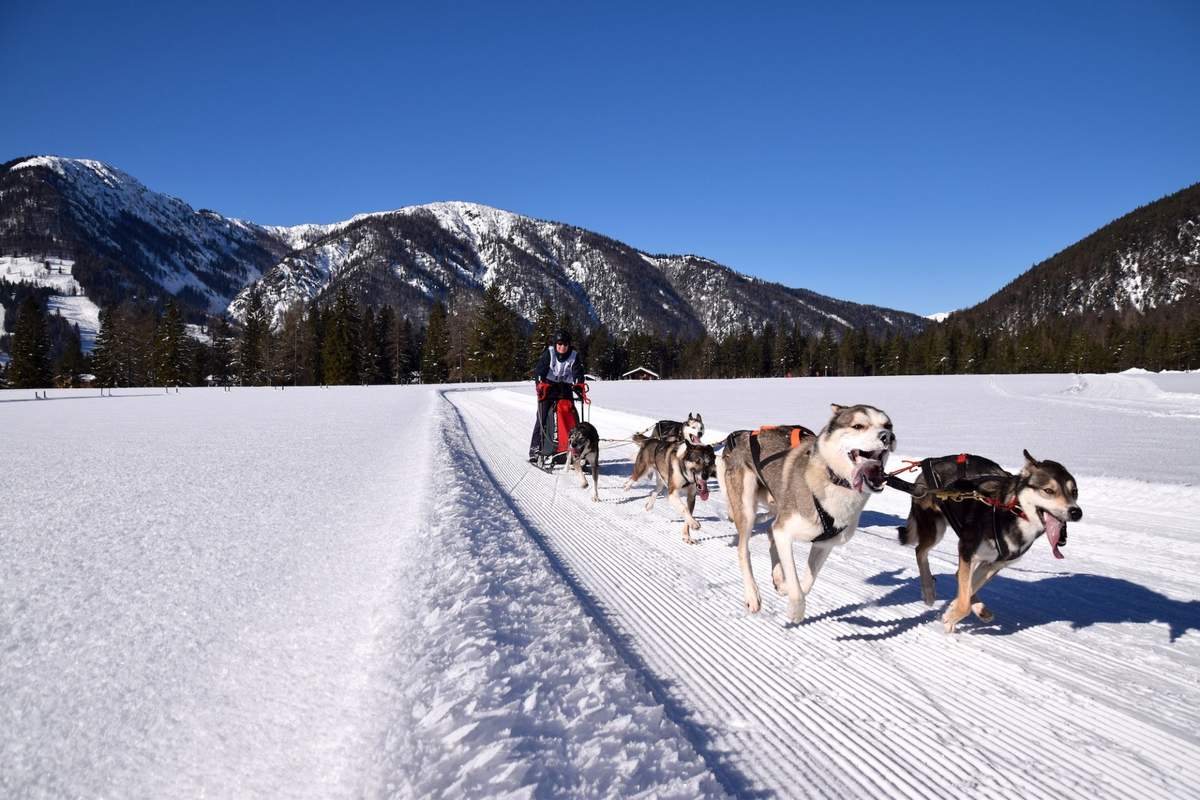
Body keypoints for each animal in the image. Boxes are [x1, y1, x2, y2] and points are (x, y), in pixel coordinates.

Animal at [710, 402, 892, 623]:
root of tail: (739, 437)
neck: (832, 478)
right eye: (858, 426)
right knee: (744, 550)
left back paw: (778, 577)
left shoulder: (823, 544)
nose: (888, 437)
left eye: (888, 425)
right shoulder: (784, 531)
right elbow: (797, 587)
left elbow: (806, 583)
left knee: (770, 533)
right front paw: (796, 610)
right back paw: (752, 595)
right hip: (747, 509)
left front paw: (785, 587)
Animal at [897, 450, 1084, 633]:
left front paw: (955, 611)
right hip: (936, 530)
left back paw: (978, 609)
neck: (1011, 511)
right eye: (1049, 491)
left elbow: (968, 589)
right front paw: (952, 615)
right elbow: (964, 601)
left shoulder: (994, 564)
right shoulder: (967, 550)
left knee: (957, 574)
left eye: (1074, 492)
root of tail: (930, 463)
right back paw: (928, 590)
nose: (1076, 512)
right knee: (920, 551)